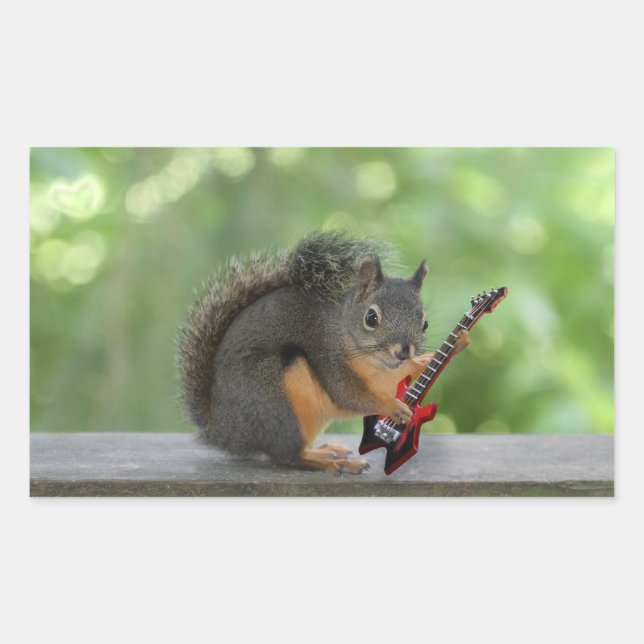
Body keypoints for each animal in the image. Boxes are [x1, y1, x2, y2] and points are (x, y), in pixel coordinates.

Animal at [177, 231, 469, 474]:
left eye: (425, 323)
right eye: (371, 318)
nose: (403, 352)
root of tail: (223, 431)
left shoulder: (389, 375)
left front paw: (448, 348)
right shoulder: (327, 355)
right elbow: (350, 395)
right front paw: (392, 406)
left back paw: (326, 451)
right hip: (275, 399)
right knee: (286, 457)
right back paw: (333, 464)